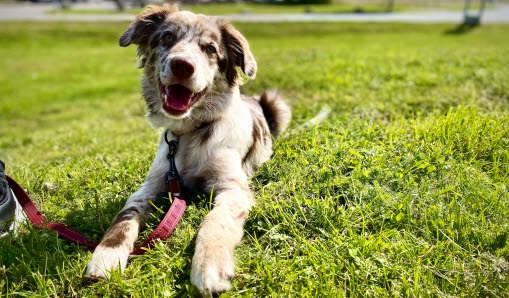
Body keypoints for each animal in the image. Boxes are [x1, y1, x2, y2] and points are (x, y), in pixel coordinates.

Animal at [84, 5, 290, 296]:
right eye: (167, 37)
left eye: (211, 49)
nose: (182, 65)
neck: (188, 135)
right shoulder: (148, 188)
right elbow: (123, 218)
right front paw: (105, 256)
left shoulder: (233, 188)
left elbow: (213, 220)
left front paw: (209, 264)